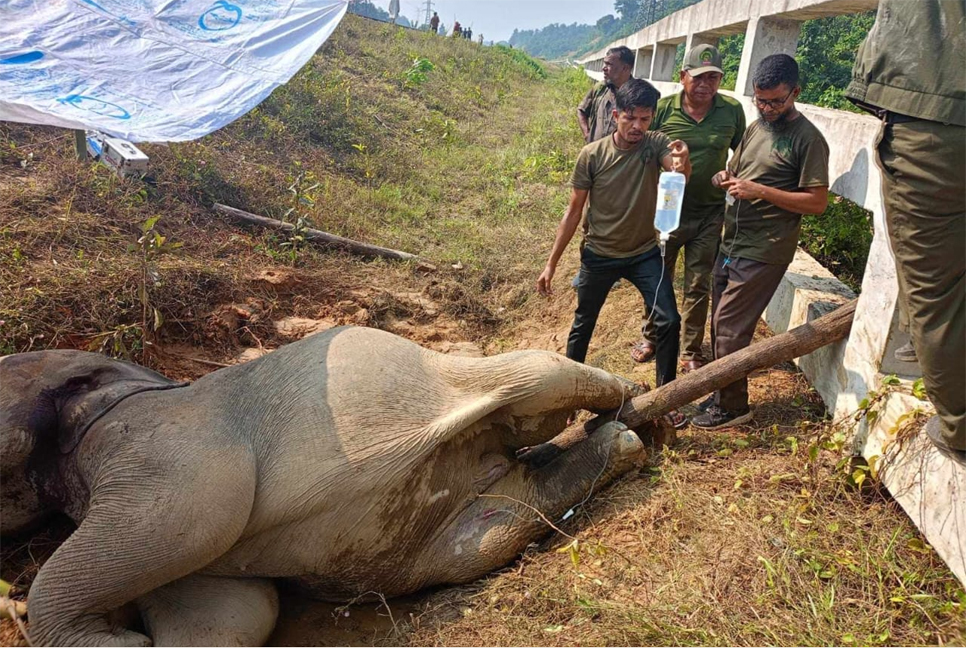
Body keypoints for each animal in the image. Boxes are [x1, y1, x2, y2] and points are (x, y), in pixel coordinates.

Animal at [0, 326, 660, 644]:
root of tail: (488, 459)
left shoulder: (163, 442)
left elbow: (190, 519)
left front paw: (117, 640)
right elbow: (231, 617)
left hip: (454, 372)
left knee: (535, 376)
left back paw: (632, 400)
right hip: (427, 537)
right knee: (489, 531)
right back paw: (617, 443)